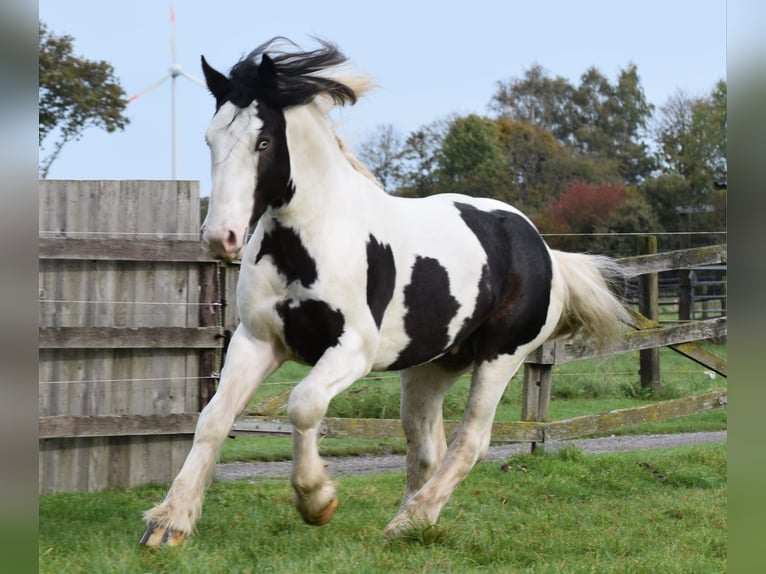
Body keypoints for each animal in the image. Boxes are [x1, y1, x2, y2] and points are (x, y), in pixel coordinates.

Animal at [140, 37, 632, 548]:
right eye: (210, 139)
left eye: (264, 141)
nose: (222, 238)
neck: (315, 237)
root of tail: (542, 248)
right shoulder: (256, 341)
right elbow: (214, 419)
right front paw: (170, 522)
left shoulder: (353, 349)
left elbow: (303, 405)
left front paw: (317, 500)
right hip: (430, 368)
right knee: (427, 444)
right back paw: (411, 522)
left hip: (501, 356)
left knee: (471, 441)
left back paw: (411, 519)